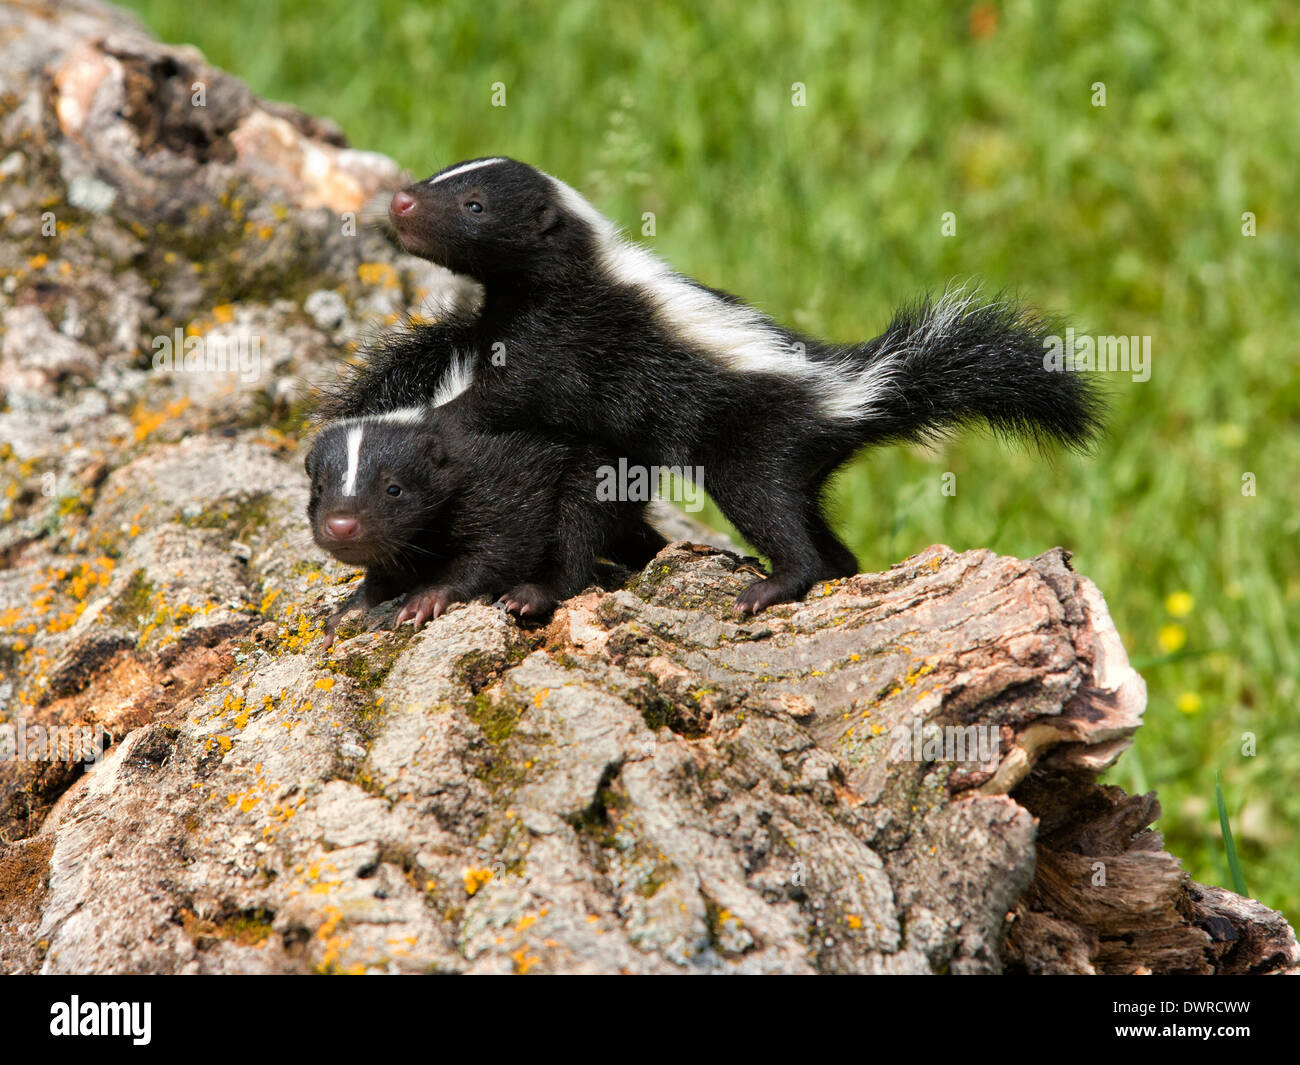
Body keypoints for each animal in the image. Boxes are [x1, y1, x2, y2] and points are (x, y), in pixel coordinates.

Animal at [327, 154, 1107, 611]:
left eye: (475, 206)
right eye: (437, 178)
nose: (401, 202)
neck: (567, 270)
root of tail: (846, 386)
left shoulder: (569, 338)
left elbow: (510, 392)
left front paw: (442, 420)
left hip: (751, 451)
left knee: (780, 524)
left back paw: (771, 586)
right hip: (793, 466)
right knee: (822, 533)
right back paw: (841, 574)